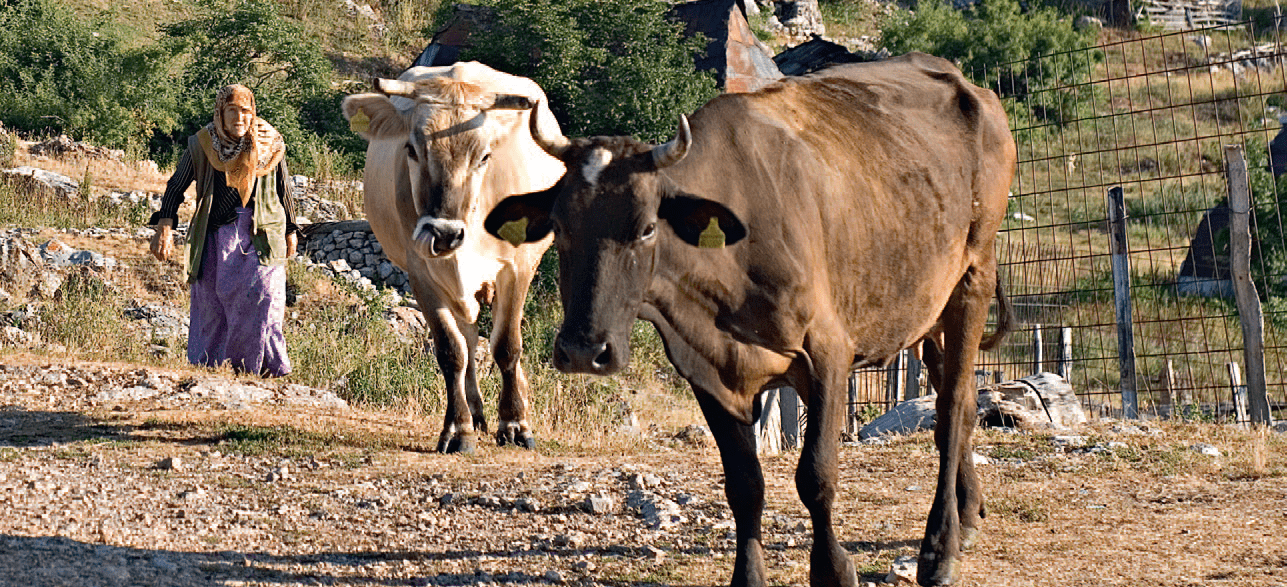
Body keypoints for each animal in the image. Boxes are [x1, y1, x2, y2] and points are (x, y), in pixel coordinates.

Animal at [342, 61, 563, 450]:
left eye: (485, 156)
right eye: (412, 149)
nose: (444, 233)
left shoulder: (516, 267)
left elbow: (507, 345)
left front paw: (515, 424)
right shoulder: (420, 269)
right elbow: (451, 350)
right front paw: (458, 429)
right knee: (469, 339)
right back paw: (475, 413)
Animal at [483, 52, 1014, 584]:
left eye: (648, 228)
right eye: (560, 227)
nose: (582, 351)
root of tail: (966, 83)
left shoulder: (828, 352)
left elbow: (816, 474)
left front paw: (834, 567)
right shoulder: (707, 370)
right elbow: (744, 485)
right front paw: (750, 574)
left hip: (973, 278)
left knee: (954, 408)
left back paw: (940, 547)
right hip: (927, 308)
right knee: (958, 395)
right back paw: (968, 512)